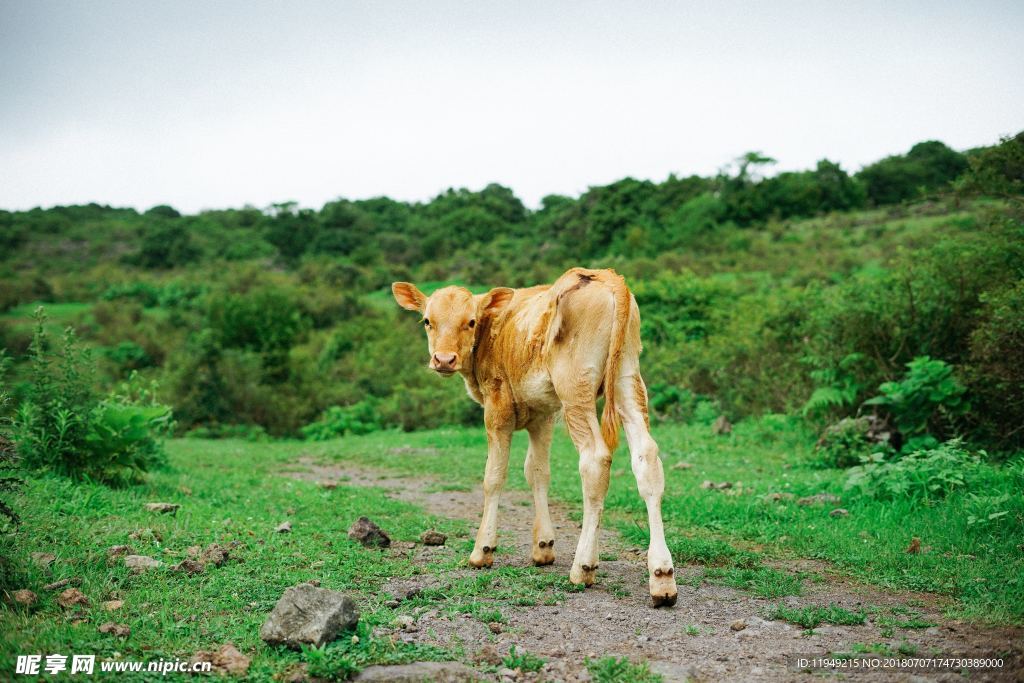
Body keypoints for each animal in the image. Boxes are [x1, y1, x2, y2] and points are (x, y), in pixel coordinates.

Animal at [391, 266, 679, 610]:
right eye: (427, 321)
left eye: (470, 321)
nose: (444, 359)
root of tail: (606, 277)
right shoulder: (542, 414)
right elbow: (538, 472)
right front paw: (543, 546)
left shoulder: (498, 407)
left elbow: (494, 476)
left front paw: (482, 550)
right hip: (627, 377)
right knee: (646, 458)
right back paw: (662, 577)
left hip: (575, 386)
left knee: (595, 459)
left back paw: (584, 566)